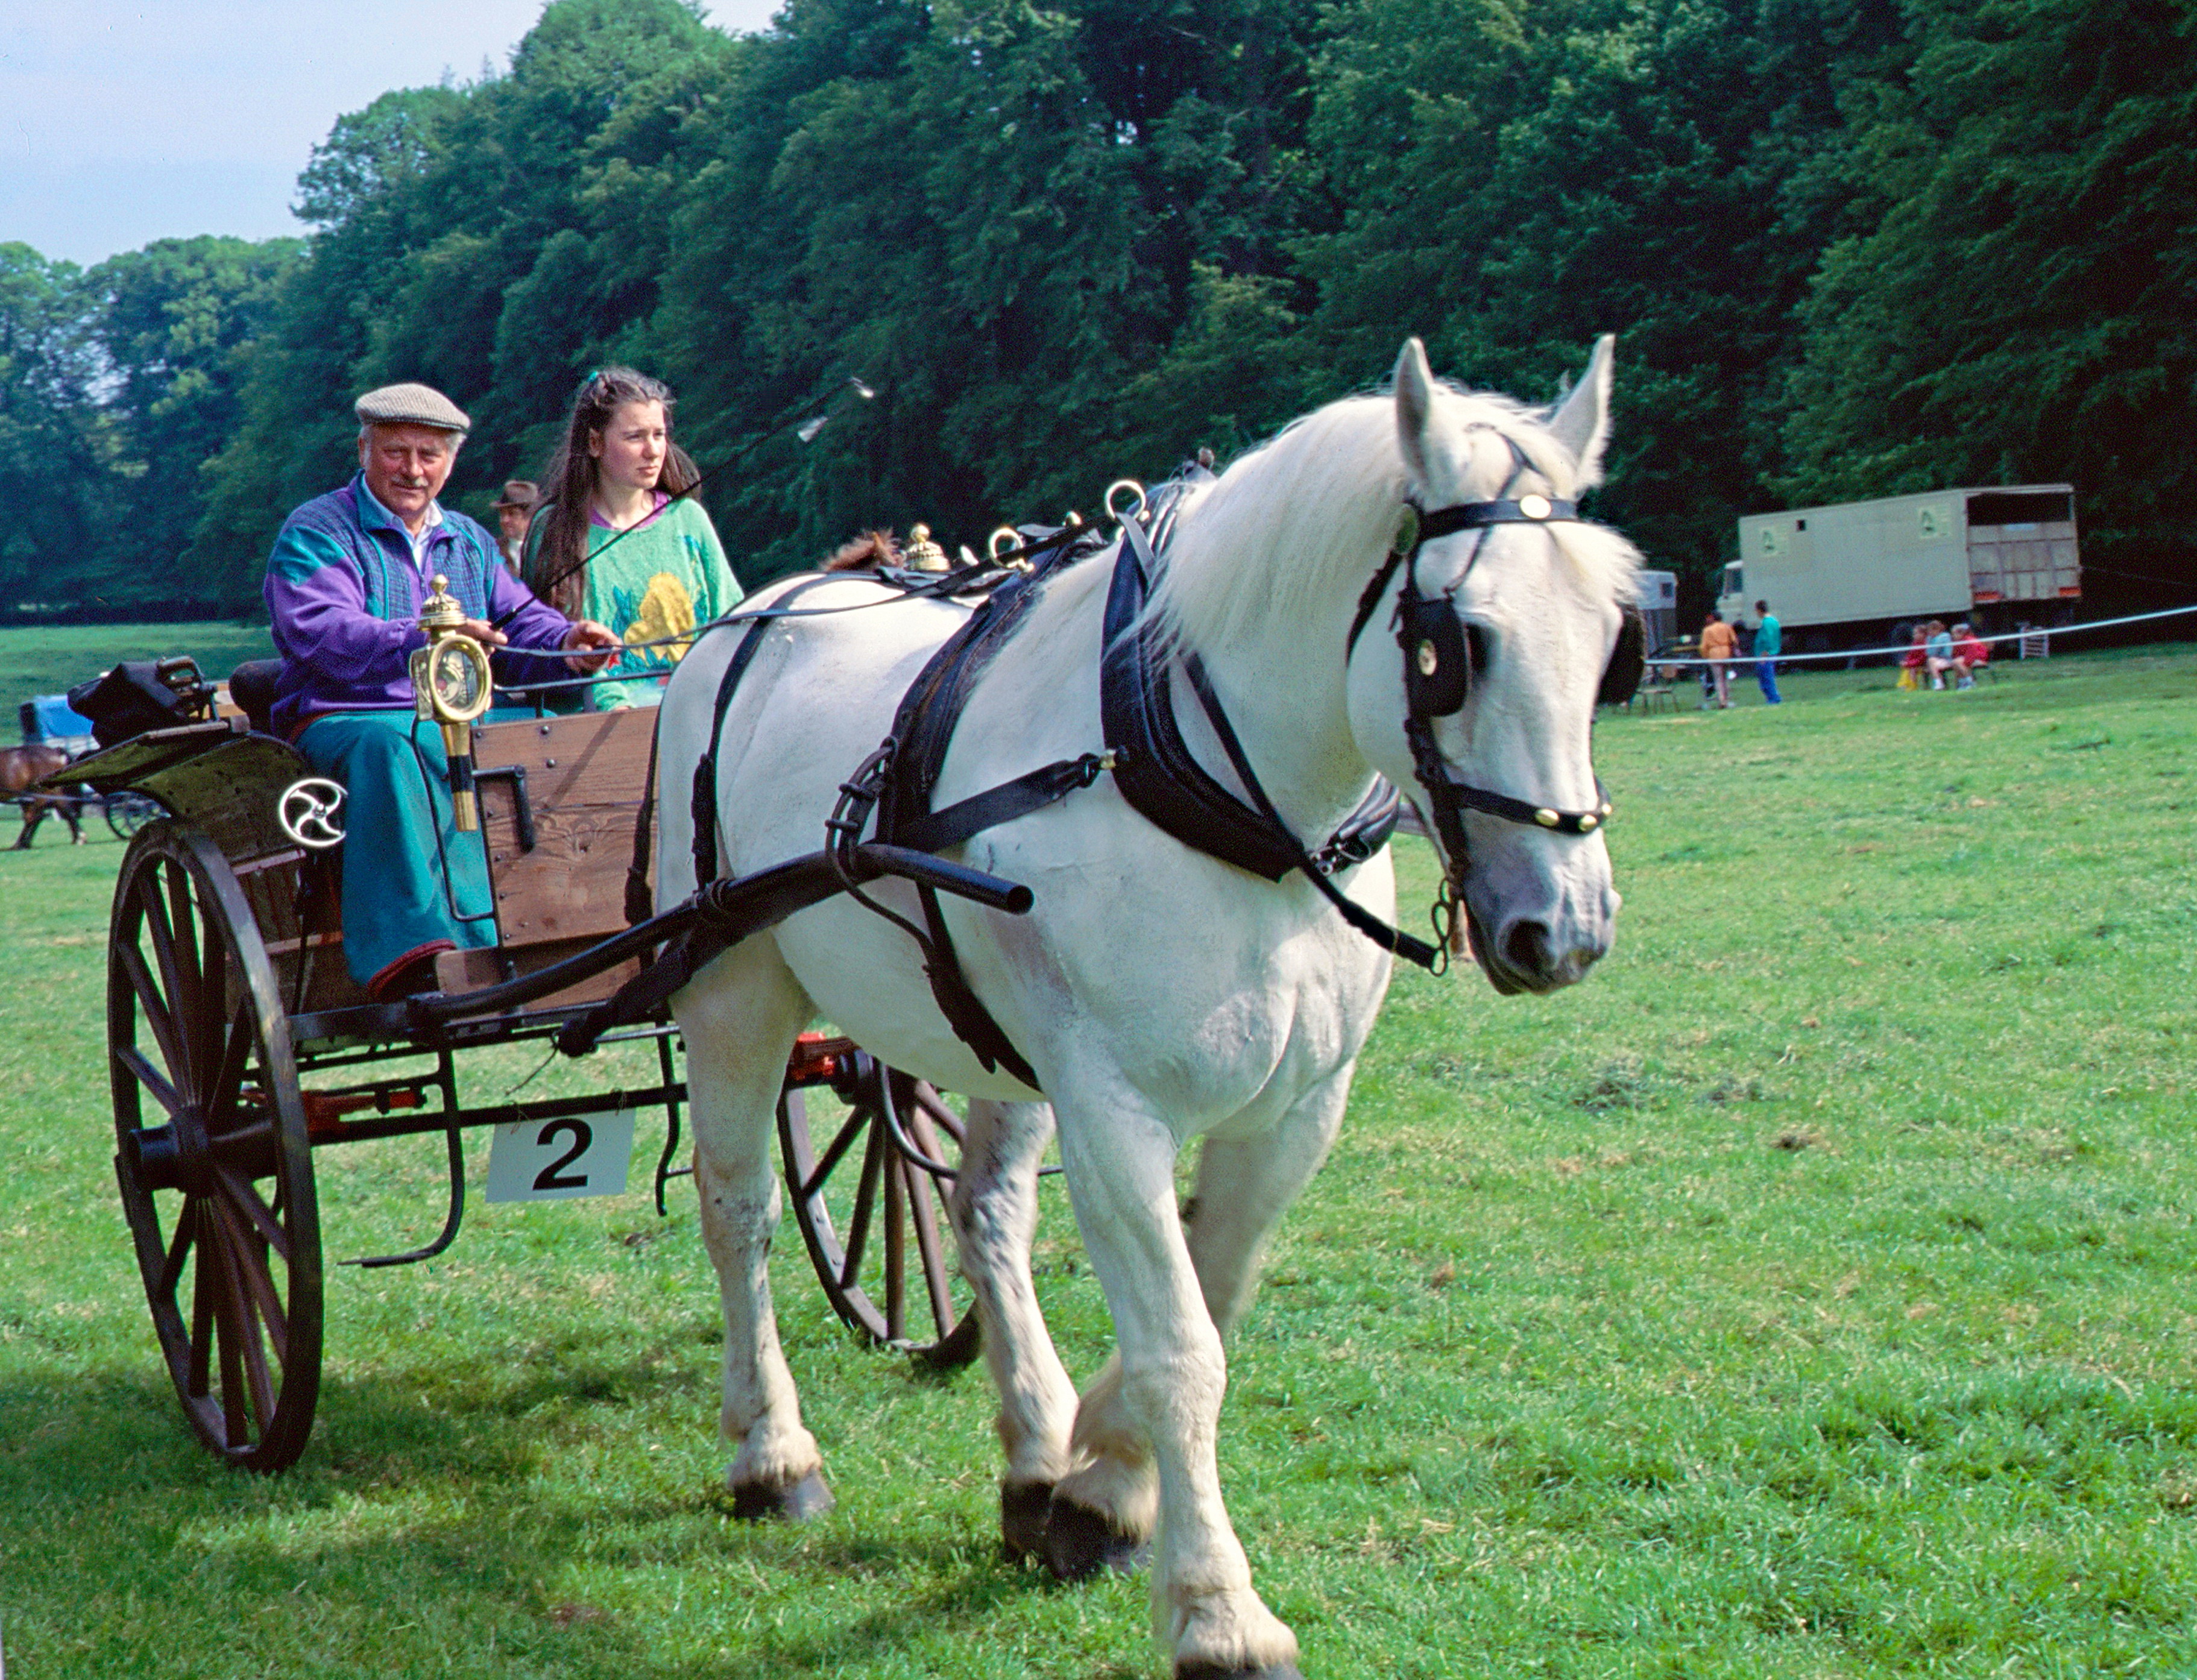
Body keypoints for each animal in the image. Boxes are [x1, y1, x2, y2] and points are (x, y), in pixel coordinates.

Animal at [646, 340, 1634, 1678]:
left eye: (1609, 635)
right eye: (1453, 644)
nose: (1563, 927)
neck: (1215, 792)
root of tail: (744, 622)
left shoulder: (1296, 1108)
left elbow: (1210, 1293)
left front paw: (1095, 1481)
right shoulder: (1111, 1101)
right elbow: (1180, 1350)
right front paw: (1217, 1607)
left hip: (990, 1038)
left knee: (982, 1212)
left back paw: (1031, 1446)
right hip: (734, 989)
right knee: (739, 1208)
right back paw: (770, 1449)